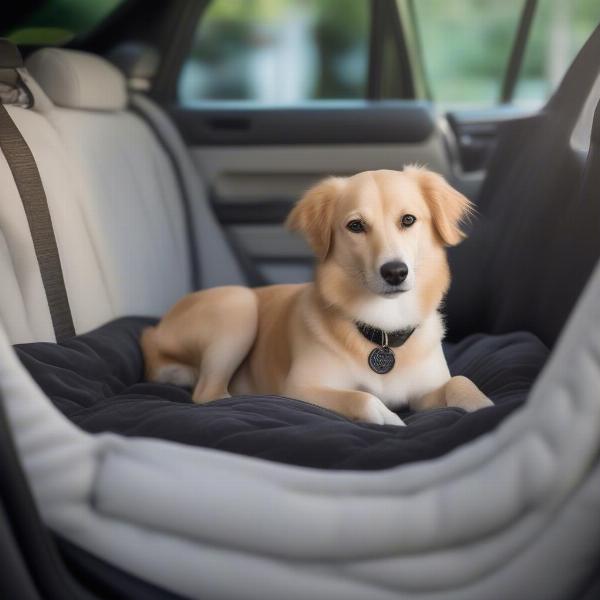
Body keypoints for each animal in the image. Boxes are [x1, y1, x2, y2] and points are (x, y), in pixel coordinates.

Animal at [142, 166, 492, 424]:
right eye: (356, 225)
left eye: (408, 220)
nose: (394, 272)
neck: (382, 330)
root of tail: (152, 333)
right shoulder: (300, 389)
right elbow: (362, 397)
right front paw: (387, 417)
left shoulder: (425, 391)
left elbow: (461, 382)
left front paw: (483, 406)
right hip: (238, 307)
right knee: (208, 393)